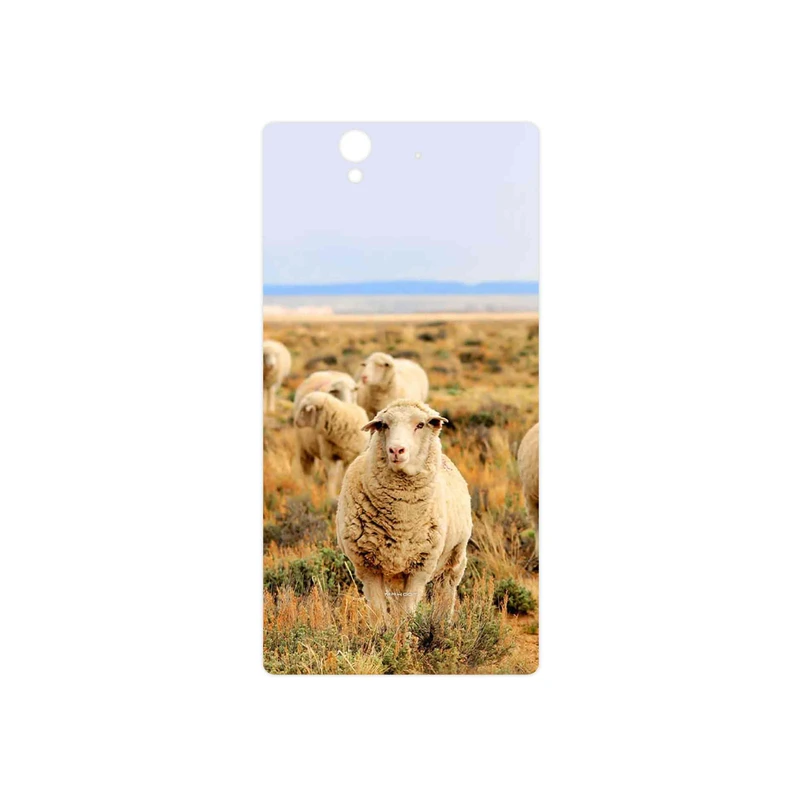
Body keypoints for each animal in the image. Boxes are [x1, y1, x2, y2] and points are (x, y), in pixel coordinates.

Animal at [336, 399, 472, 623]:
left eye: (421, 425)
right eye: (384, 425)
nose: (396, 450)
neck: (401, 518)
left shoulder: (420, 567)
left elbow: (406, 613)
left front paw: (405, 632)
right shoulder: (367, 566)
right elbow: (379, 613)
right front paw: (383, 631)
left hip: (454, 557)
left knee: (446, 590)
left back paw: (442, 623)